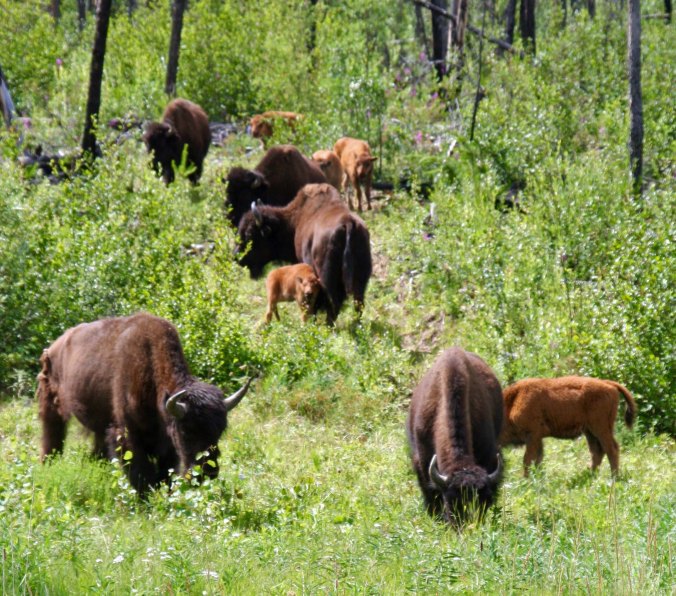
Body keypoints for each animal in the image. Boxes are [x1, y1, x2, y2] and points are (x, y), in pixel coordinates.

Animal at [37, 312, 253, 495]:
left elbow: (165, 471)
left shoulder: (167, 444)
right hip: (51, 406)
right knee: (52, 436)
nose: (208, 472)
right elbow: (141, 472)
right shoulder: (127, 435)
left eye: (220, 431)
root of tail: (54, 346)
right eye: (187, 431)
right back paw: (48, 465)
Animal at [237, 183, 372, 325]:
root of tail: (348, 223)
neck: (294, 221)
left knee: (333, 303)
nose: (238, 258)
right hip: (361, 279)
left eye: (249, 234)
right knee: (358, 302)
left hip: (327, 278)